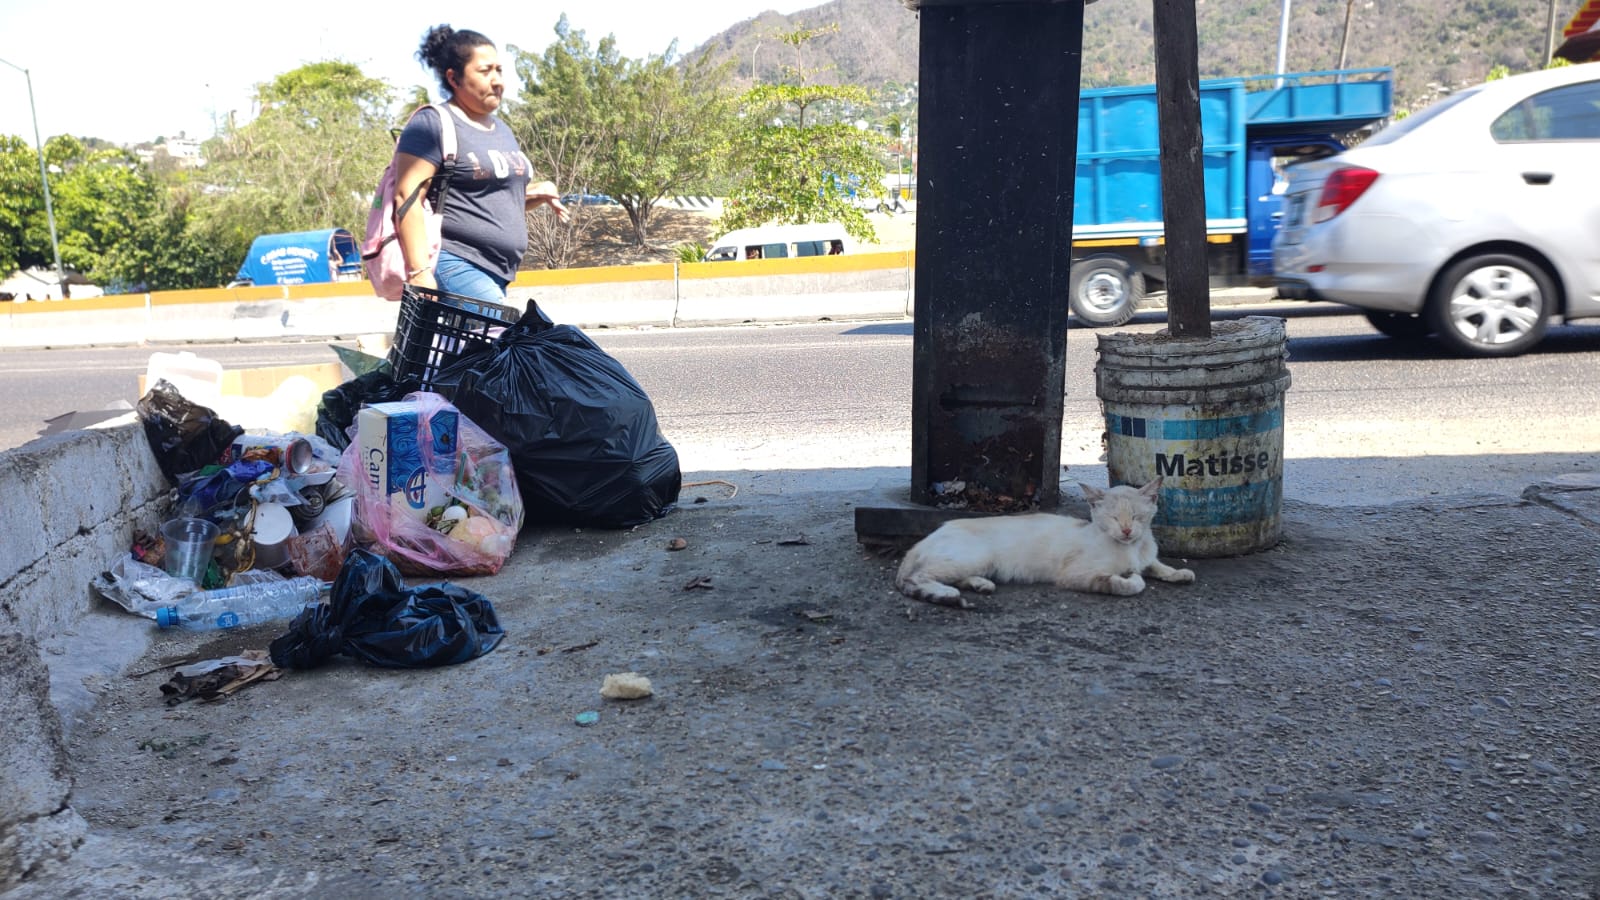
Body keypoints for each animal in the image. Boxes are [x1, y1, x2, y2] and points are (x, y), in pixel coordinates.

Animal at [896, 474, 1196, 605]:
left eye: (1135, 517)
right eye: (1113, 518)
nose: (1125, 531)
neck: (1132, 548)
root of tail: (929, 536)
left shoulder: (1146, 554)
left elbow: (1156, 565)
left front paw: (1179, 573)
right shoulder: (1076, 575)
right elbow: (1130, 583)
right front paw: (1131, 578)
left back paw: (981, 584)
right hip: (973, 557)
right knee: (917, 577)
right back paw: (946, 592)